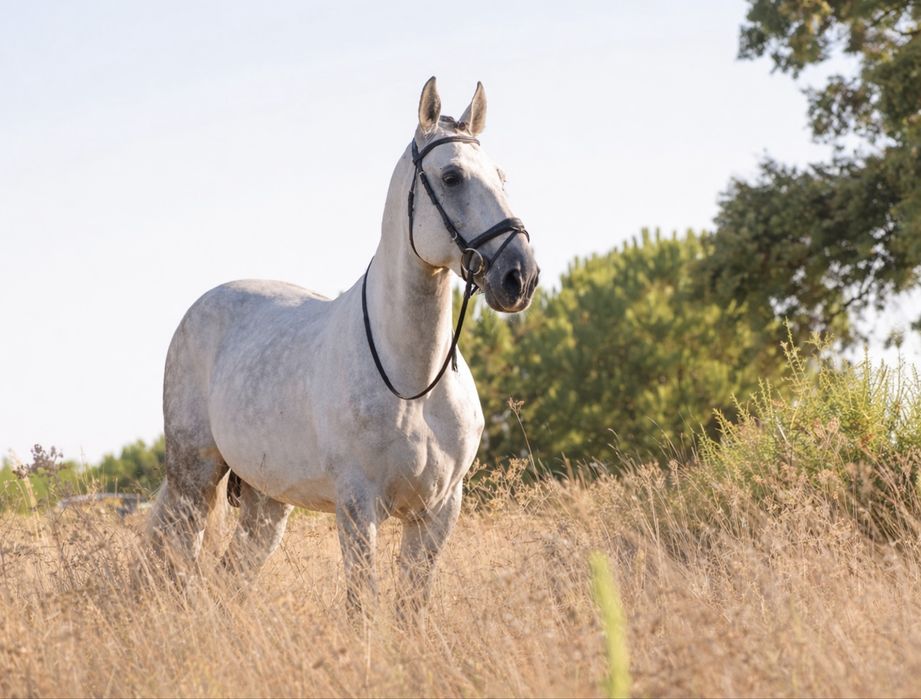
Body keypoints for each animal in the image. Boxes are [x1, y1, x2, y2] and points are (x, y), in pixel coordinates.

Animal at [149, 77, 539, 616]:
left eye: (502, 177)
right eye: (453, 176)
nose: (519, 276)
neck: (414, 382)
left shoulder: (438, 512)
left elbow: (411, 607)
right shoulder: (358, 508)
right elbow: (363, 605)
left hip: (267, 500)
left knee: (231, 576)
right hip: (195, 475)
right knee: (179, 563)